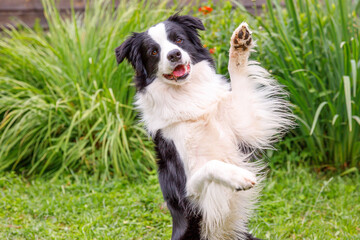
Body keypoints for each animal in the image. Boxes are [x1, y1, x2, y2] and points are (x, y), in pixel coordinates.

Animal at [115, 14, 292, 240]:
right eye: (154, 51)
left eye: (178, 39)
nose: (174, 55)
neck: (186, 95)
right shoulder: (189, 192)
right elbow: (212, 165)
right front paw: (238, 177)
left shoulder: (244, 122)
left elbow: (238, 78)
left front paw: (239, 45)